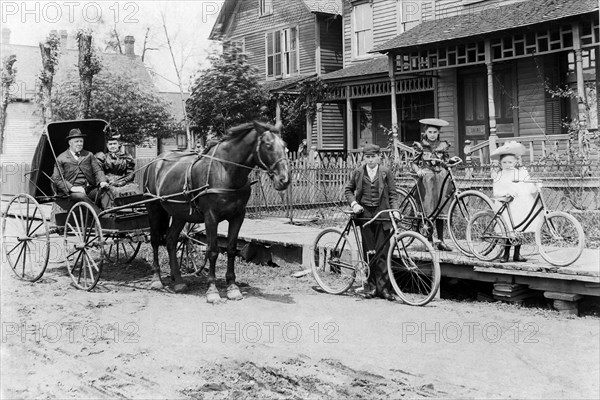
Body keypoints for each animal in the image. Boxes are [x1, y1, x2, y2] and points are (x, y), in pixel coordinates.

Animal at [142, 120, 290, 302]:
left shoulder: (238, 216)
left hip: (180, 214)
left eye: (284, 145)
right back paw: (157, 279)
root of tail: (155, 162)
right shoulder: (211, 217)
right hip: (154, 209)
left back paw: (178, 280)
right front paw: (212, 290)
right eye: (268, 145)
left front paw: (232, 287)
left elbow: (232, 249)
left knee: (171, 241)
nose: (284, 179)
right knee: (155, 241)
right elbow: (212, 251)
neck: (226, 170)